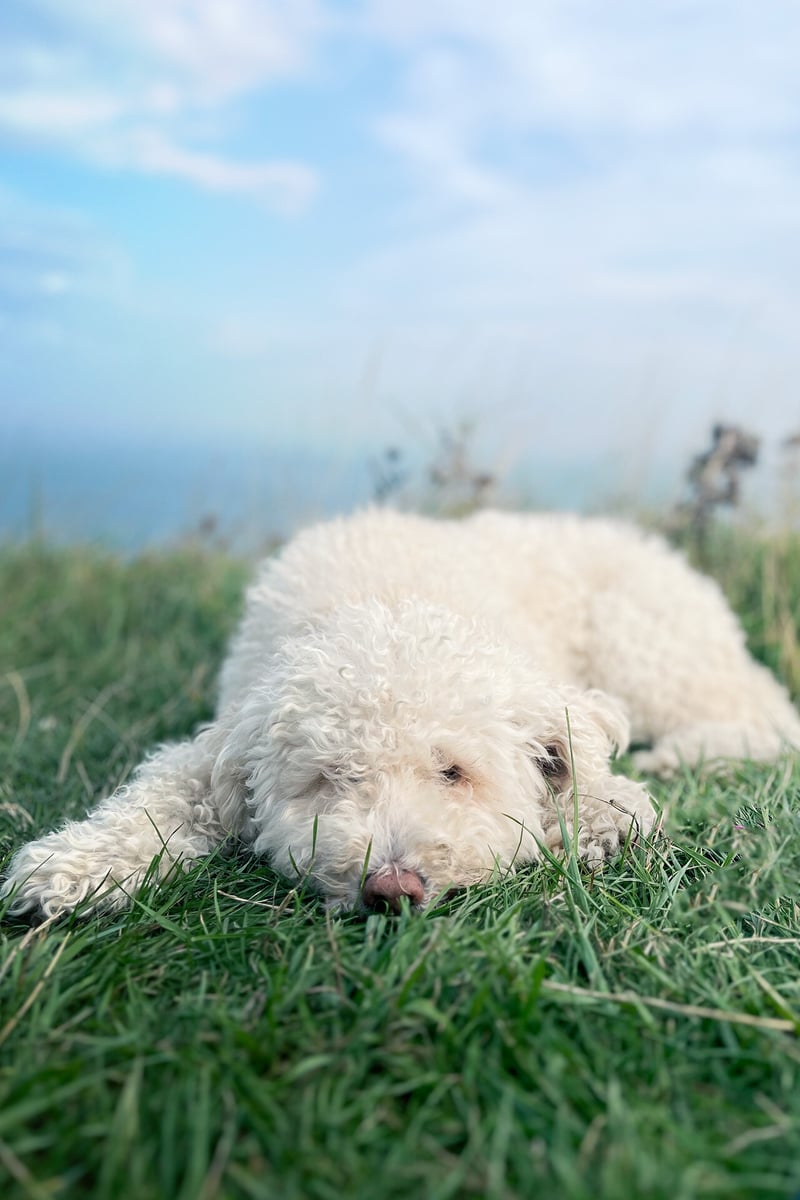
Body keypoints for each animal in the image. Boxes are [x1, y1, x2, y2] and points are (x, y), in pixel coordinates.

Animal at [1, 508, 800, 916]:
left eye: (453, 772)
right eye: (330, 779)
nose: (393, 886)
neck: (382, 601)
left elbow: (595, 772)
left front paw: (600, 817)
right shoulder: (224, 730)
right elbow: (164, 794)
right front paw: (72, 865)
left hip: (643, 643)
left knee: (764, 716)